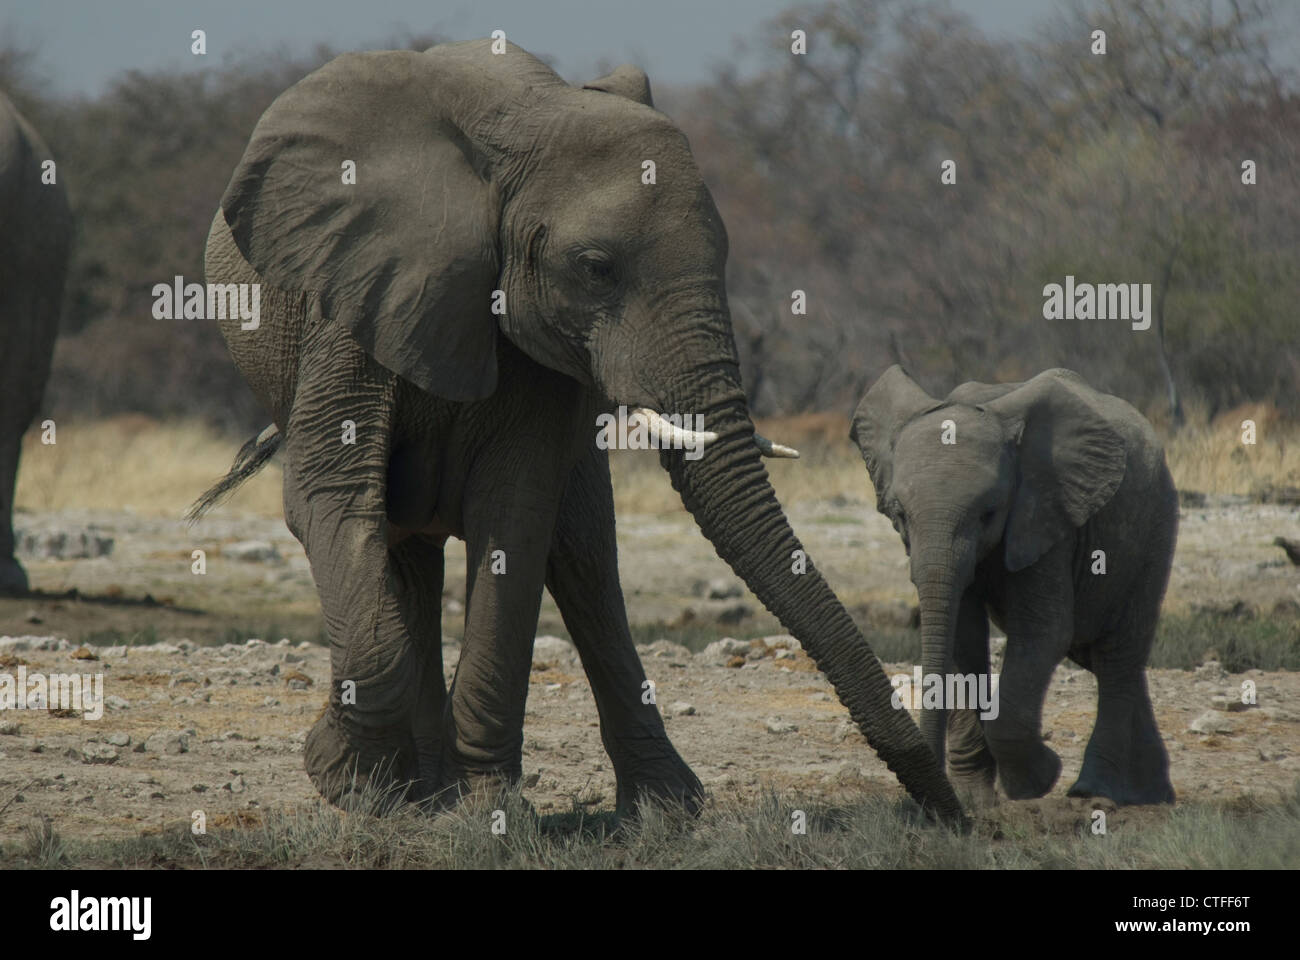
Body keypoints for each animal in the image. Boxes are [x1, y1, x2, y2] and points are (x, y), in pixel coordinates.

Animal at [195, 39, 967, 822]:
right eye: (595, 269)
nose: (952, 814)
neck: (522, 126)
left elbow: (515, 515)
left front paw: (485, 810)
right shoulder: (357, 296)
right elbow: (332, 495)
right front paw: (348, 780)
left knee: (586, 560)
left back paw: (655, 812)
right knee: (406, 543)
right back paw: (423, 794)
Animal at [852, 366, 1180, 806]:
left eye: (989, 513)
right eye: (899, 514)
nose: (925, 804)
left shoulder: (1046, 515)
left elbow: (1044, 631)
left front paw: (1036, 782)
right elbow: (962, 637)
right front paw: (974, 800)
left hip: (1155, 528)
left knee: (1117, 657)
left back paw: (1093, 791)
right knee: (1099, 655)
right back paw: (1151, 795)